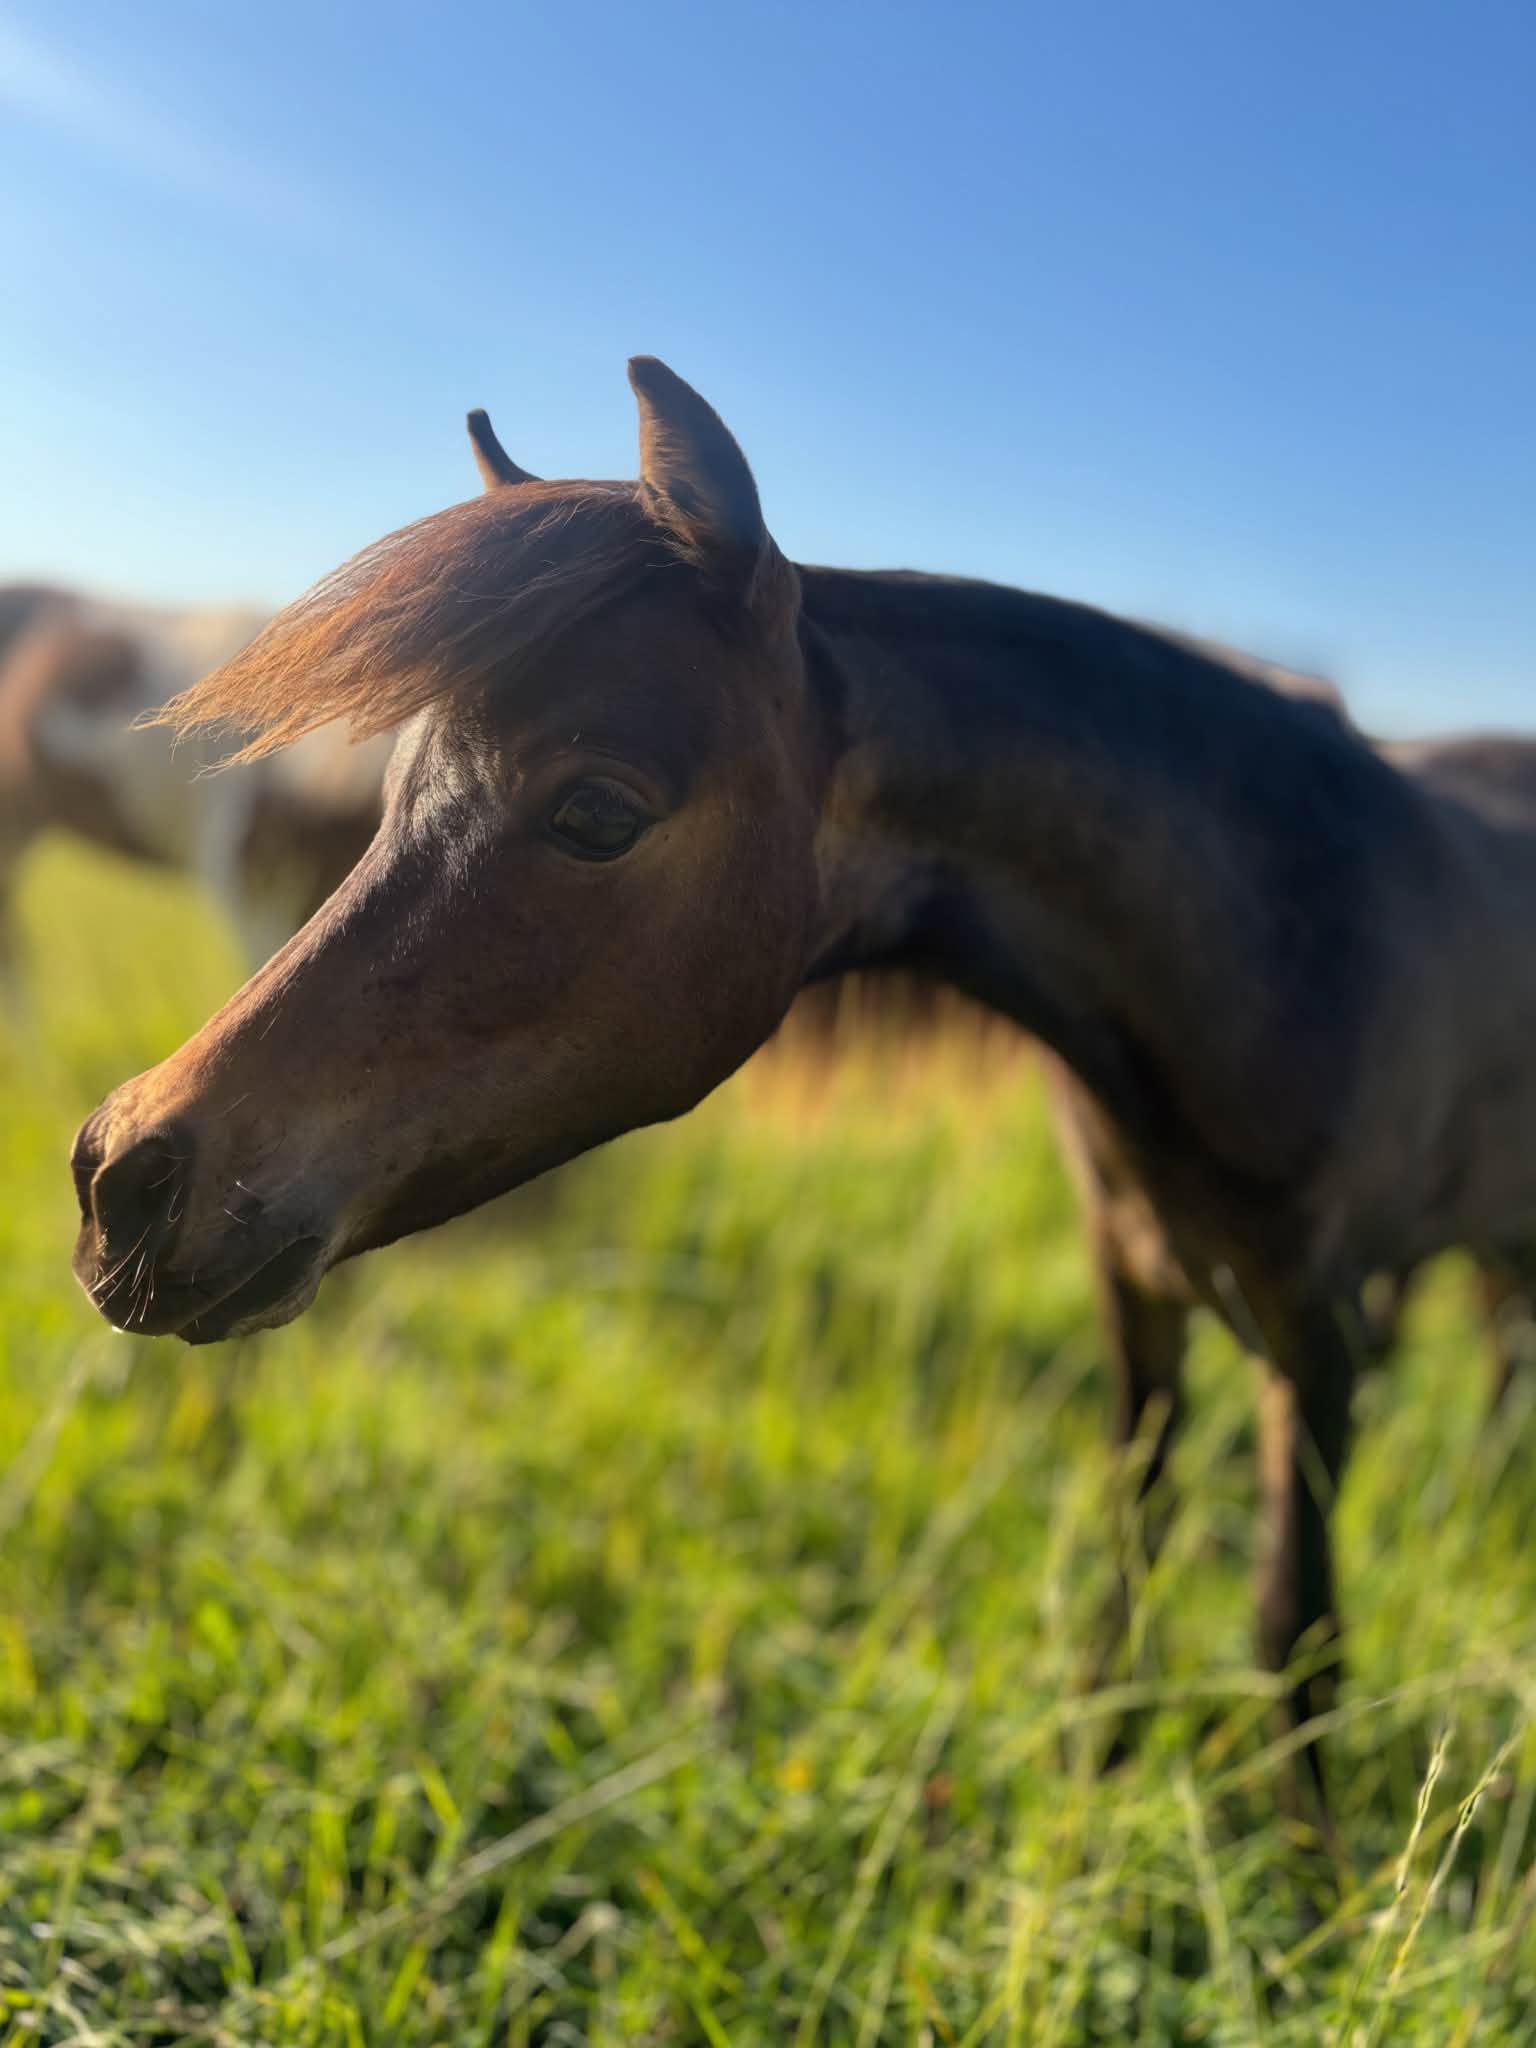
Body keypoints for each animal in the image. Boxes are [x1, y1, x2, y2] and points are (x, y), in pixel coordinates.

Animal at [67, 357, 1536, 1802]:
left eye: (596, 810)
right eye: (390, 798)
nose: (118, 1175)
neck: (1274, 939)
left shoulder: (1315, 1336)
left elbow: (1296, 1628)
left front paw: (1307, 1857)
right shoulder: (1137, 1288)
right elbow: (1136, 1530)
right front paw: (1101, 1768)